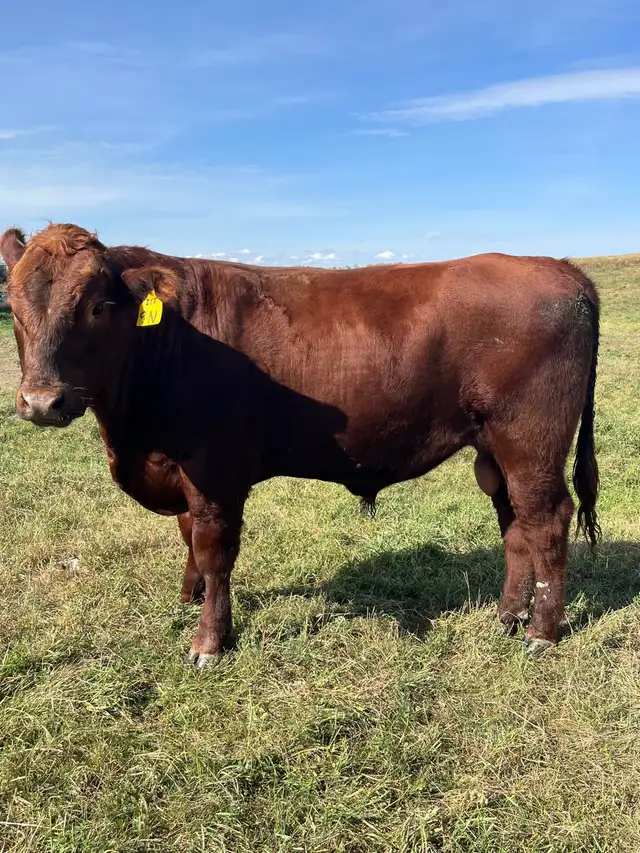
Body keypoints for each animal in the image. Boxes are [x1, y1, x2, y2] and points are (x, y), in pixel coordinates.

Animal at [0, 223, 600, 668]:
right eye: (14, 303)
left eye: (97, 306)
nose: (42, 401)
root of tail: (559, 267)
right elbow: (189, 537)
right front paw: (189, 597)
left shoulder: (214, 469)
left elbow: (214, 549)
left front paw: (209, 642)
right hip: (494, 449)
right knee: (514, 524)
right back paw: (508, 617)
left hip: (531, 442)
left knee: (547, 519)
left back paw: (542, 633)